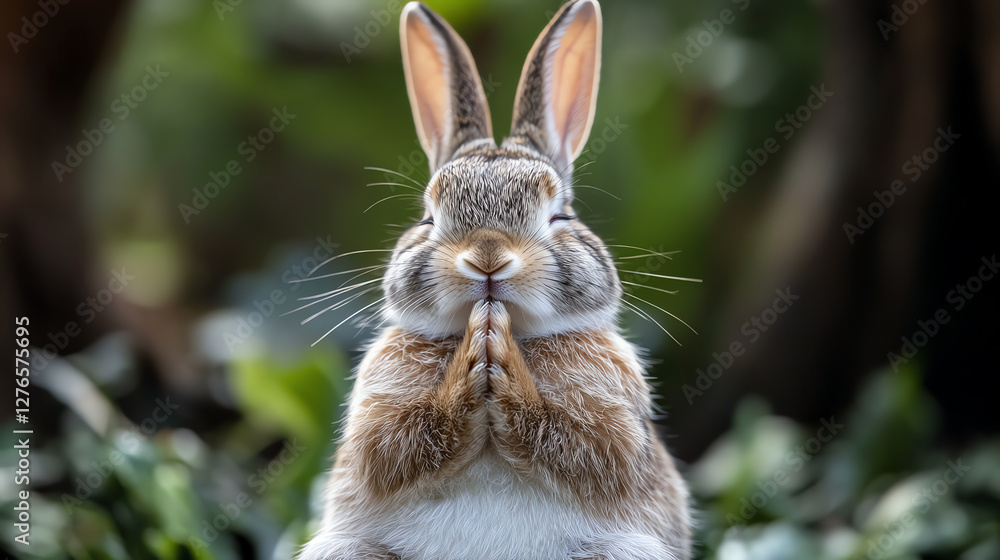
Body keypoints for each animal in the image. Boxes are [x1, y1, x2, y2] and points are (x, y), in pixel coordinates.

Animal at [297, 1, 692, 559]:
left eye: (559, 216)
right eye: (428, 218)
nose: (488, 257)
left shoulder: (615, 429)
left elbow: (583, 445)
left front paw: (498, 359)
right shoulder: (375, 424)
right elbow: (397, 446)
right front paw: (472, 362)